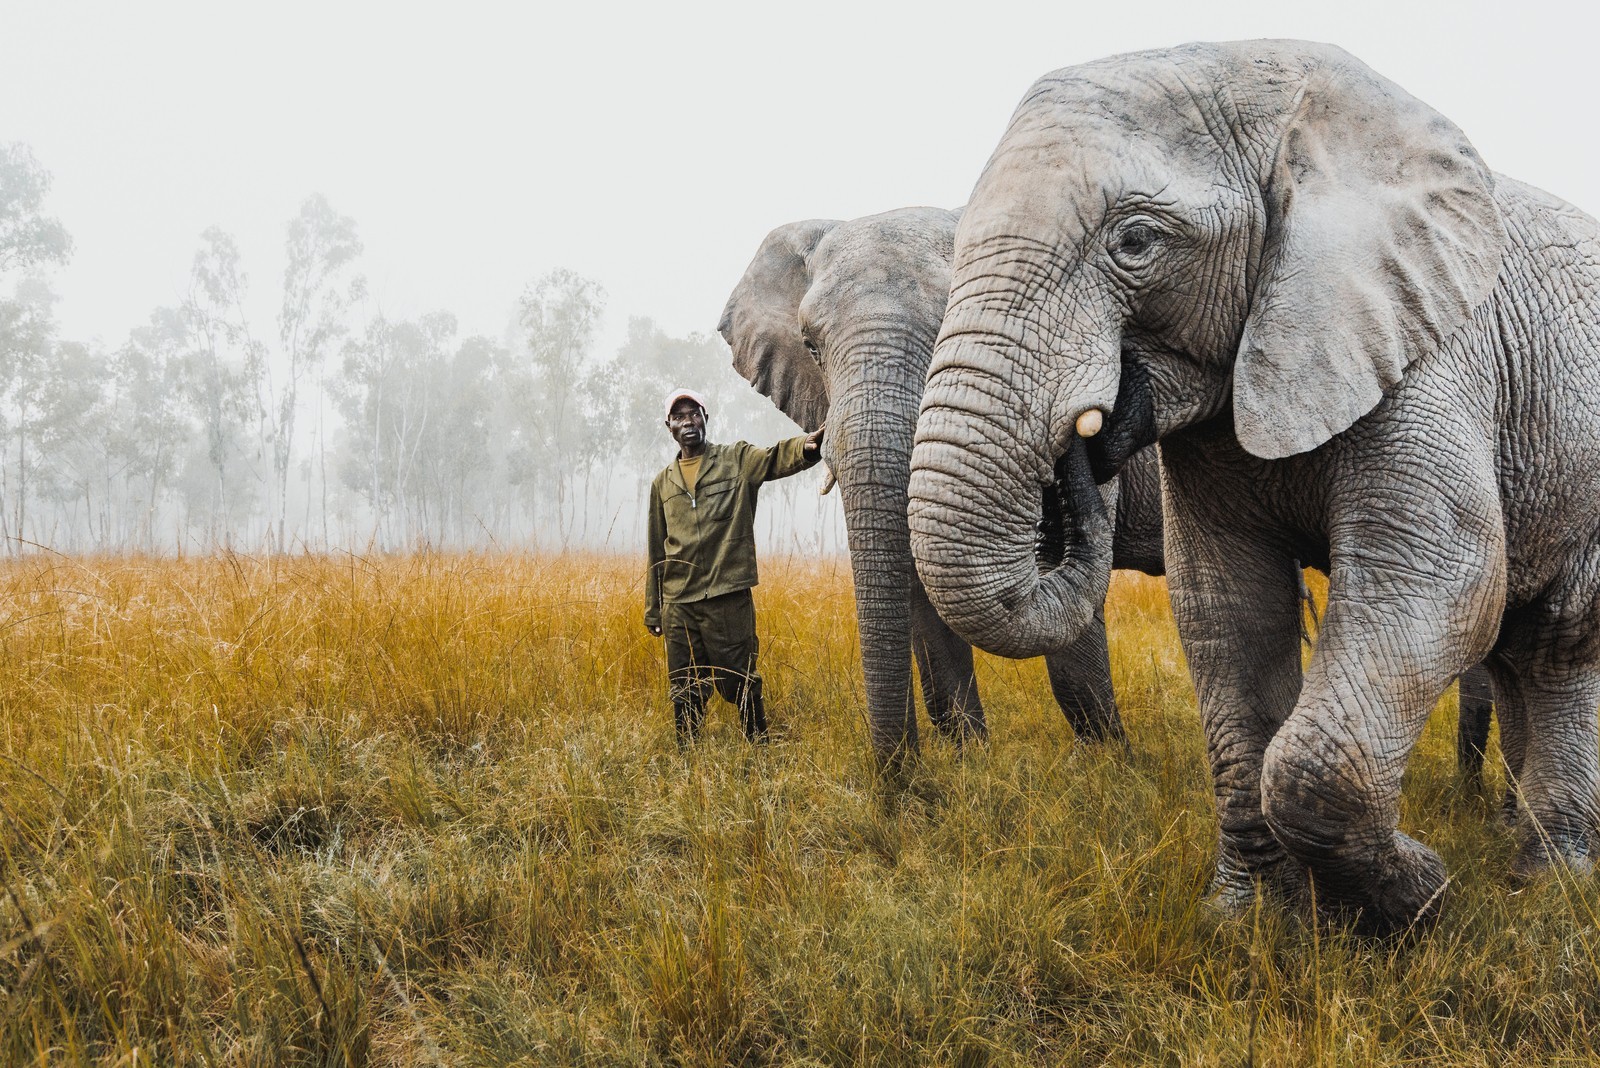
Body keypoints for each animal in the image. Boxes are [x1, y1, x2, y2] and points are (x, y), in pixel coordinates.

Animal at [908, 39, 1593, 933]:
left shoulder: (1434, 357)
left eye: (1135, 241)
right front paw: (1254, 925)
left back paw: (1547, 883)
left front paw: (1420, 898)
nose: (1087, 437)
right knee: (1530, 646)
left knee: (1558, 640)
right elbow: (1227, 605)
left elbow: (1444, 578)